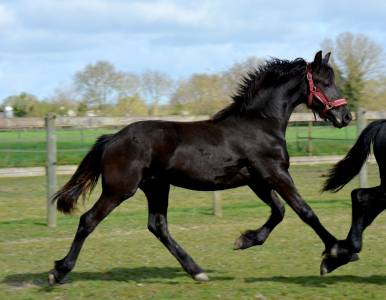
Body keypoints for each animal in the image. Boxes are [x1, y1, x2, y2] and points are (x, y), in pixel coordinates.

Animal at [48, 50, 352, 284]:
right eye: (324, 82)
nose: (345, 116)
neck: (259, 124)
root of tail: (111, 139)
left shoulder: (258, 180)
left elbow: (278, 211)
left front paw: (245, 240)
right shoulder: (274, 174)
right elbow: (305, 212)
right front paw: (337, 254)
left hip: (157, 187)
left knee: (158, 226)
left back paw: (197, 271)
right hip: (119, 190)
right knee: (88, 220)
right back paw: (59, 271)